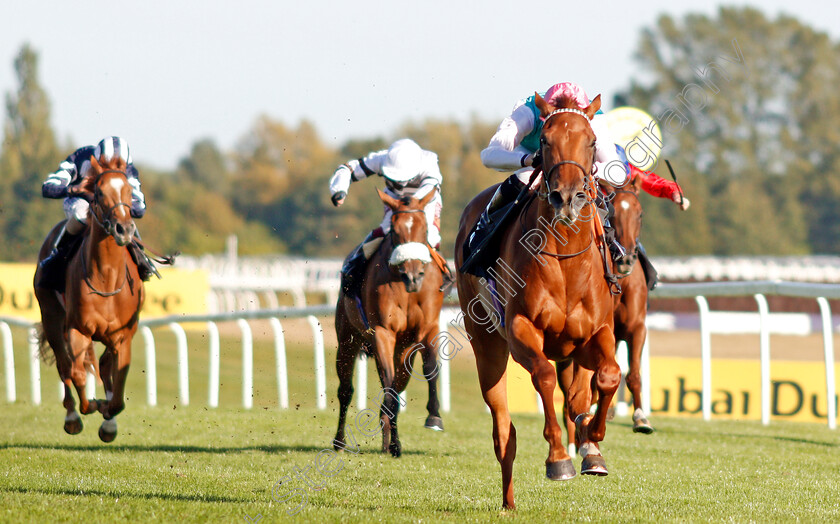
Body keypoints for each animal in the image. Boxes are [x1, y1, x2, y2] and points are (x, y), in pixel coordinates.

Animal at [33, 155, 143, 442]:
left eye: (130, 190)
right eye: (99, 192)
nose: (124, 229)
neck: (106, 277)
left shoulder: (123, 336)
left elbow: (118, 391)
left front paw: (108, 417)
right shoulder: (77, 329)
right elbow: (78, 374)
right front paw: (90, 406)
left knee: (102, 366)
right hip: (51, 316)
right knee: (65, 366)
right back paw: (72, 416)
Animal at [334, 189, 446, 458]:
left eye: (424, 228)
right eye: (395, 231)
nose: (413, 276)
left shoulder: (428, 328)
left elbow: (429, 369)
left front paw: (434, 417)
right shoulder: (382, 332)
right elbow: (388, 385)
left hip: (403, 350)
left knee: (397, 384)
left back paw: (388, 441)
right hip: (347, 340)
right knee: (346, 391)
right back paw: (340, 441)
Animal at [452, 93, 624, 508]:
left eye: (592, 141)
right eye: (545, 141)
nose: (568, 197)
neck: (565, 260)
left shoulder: (597, 333)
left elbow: (609, 376)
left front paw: (593, 443)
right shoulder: (520, 331)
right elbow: (543, 376)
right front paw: (558, 458)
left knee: (577, 397)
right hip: (487, 346)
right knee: (504, 432)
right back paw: (508, 501)